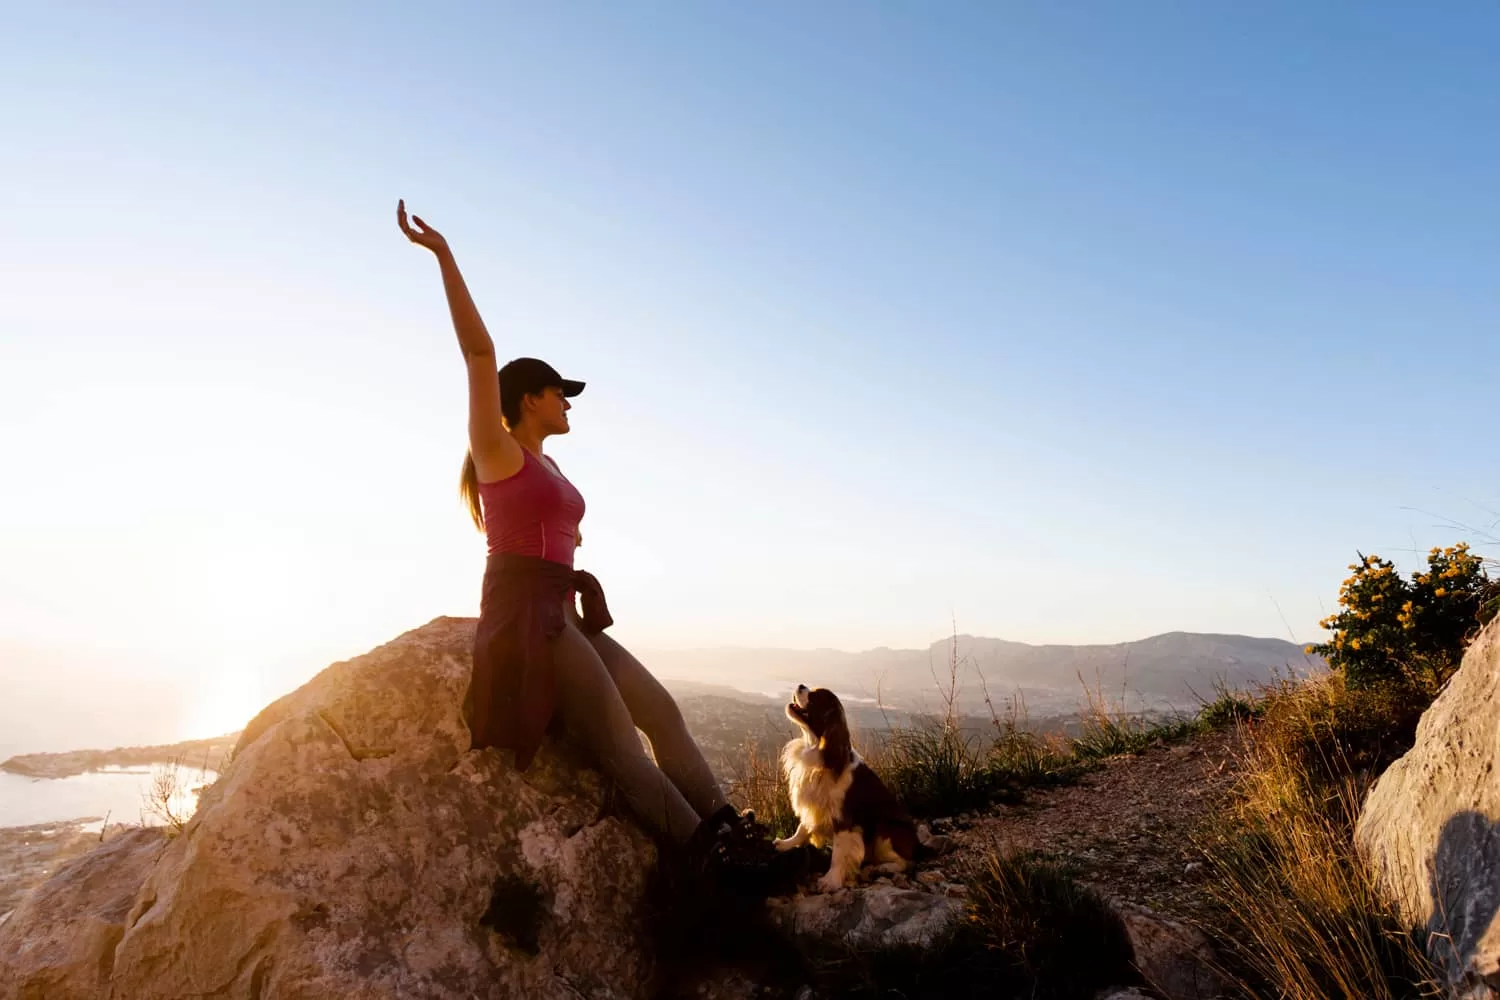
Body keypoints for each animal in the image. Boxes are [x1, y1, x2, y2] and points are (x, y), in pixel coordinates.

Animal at [780, 683, 918, 893]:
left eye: (816, 696)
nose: (801, 685)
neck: (820, 752)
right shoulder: (813, 803)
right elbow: (802, 828)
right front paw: (785, 844)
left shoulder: (843, 820)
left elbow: (838, 854)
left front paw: (830, 881)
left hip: (885, 829)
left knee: (907, 863)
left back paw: (883, 867)